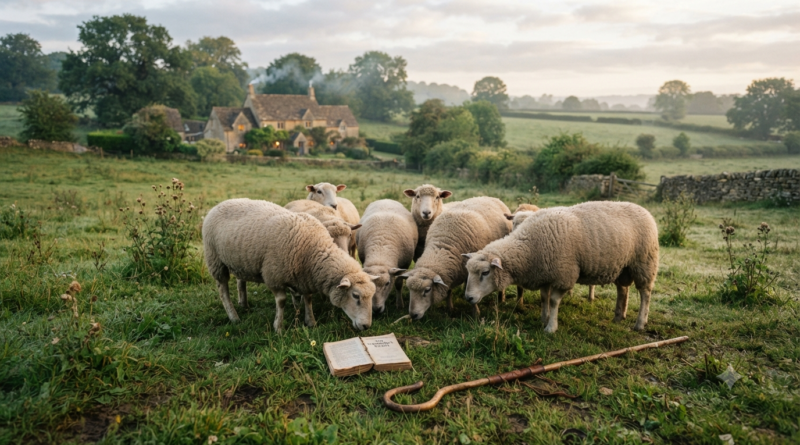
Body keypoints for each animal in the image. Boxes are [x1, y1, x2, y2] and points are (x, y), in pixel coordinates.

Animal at [203, 198, 378, 333]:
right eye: (355, 296)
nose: (366, 326)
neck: (311, 250)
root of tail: (221, 203)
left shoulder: (305, 277)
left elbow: (308, 299)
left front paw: (310, 321)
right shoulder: (273, 276)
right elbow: (281, 301)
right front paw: (278, 328)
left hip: (240, 261)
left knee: (240, 281)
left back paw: (244, 305)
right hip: (215, 260)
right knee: (223, 290)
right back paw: (234, 317)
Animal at [463, 201, 658, 333]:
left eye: (485, 272)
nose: (468, 297)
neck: (530, 246)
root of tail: (644, 210)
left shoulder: (564, 275)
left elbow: (553, 301)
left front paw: (551, 327)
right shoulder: (545, 274)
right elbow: (544, 298)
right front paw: (544, 318)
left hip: (644, 262)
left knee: (645, 293)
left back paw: (640, 323)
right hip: (623, 266)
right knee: (623, 290)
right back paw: (618, 317)